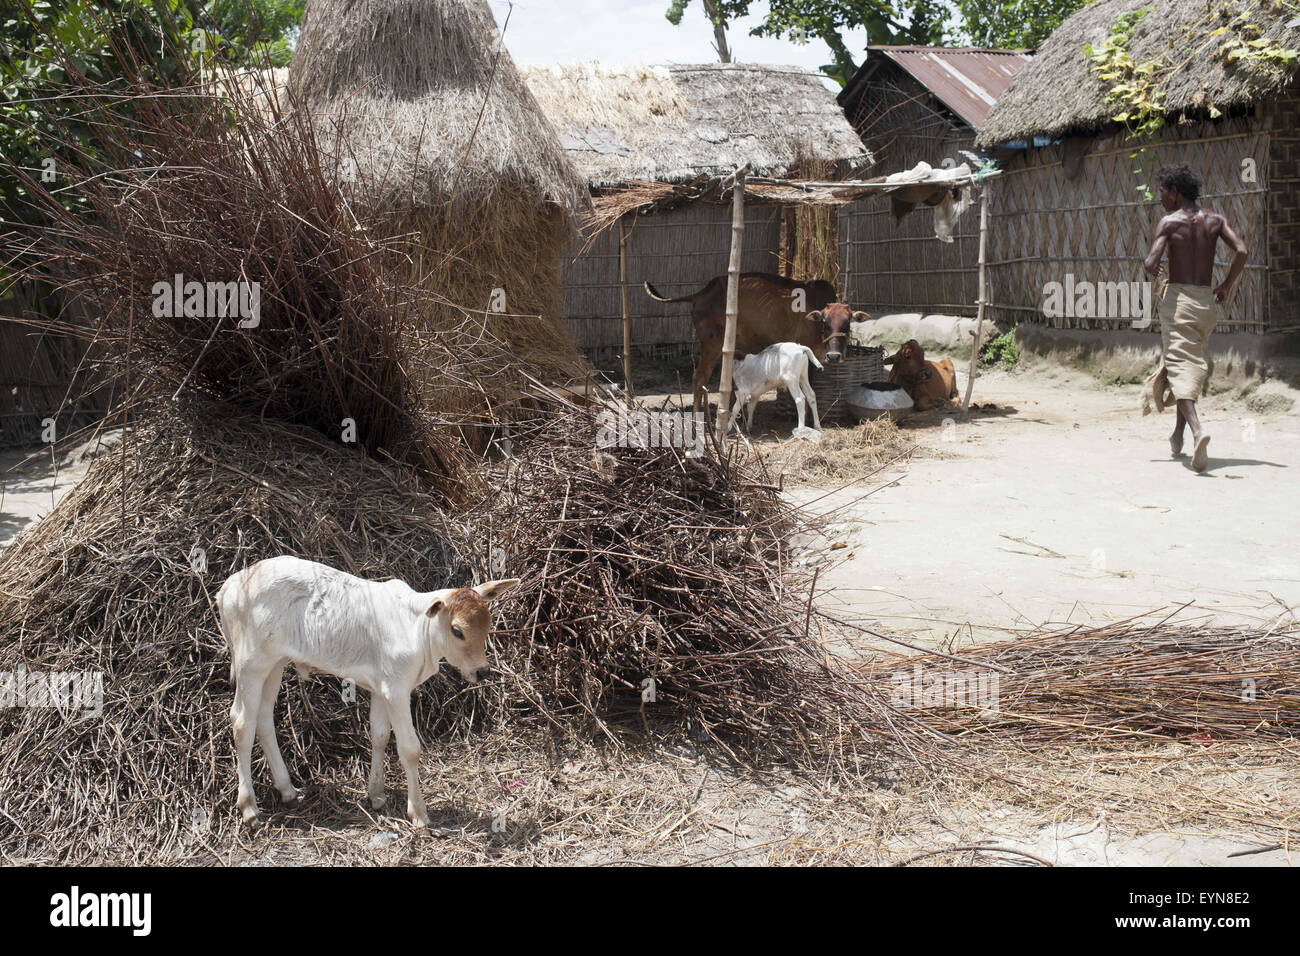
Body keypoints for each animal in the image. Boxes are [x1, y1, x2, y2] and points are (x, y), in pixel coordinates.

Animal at [217, 556, 517, 827]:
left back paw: (288, 790)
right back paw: (249, 807)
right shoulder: (397, 690)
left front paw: (377, 795)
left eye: (488, 625)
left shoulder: (381, 689)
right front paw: (418, 813)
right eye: (457, 630)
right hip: (250, 665)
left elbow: (380, 736)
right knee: (242, 722)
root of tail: (232, 583)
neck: (417, 630)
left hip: (275, 664)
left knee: (264, 718)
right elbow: (409, 749)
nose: (482, 671)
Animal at [644, 273, 868, 416]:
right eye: (825, 322)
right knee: (699, 377)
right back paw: (699, 416)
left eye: (847, 323)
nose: (834, 357)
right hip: (711, 346)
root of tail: (701, 293)